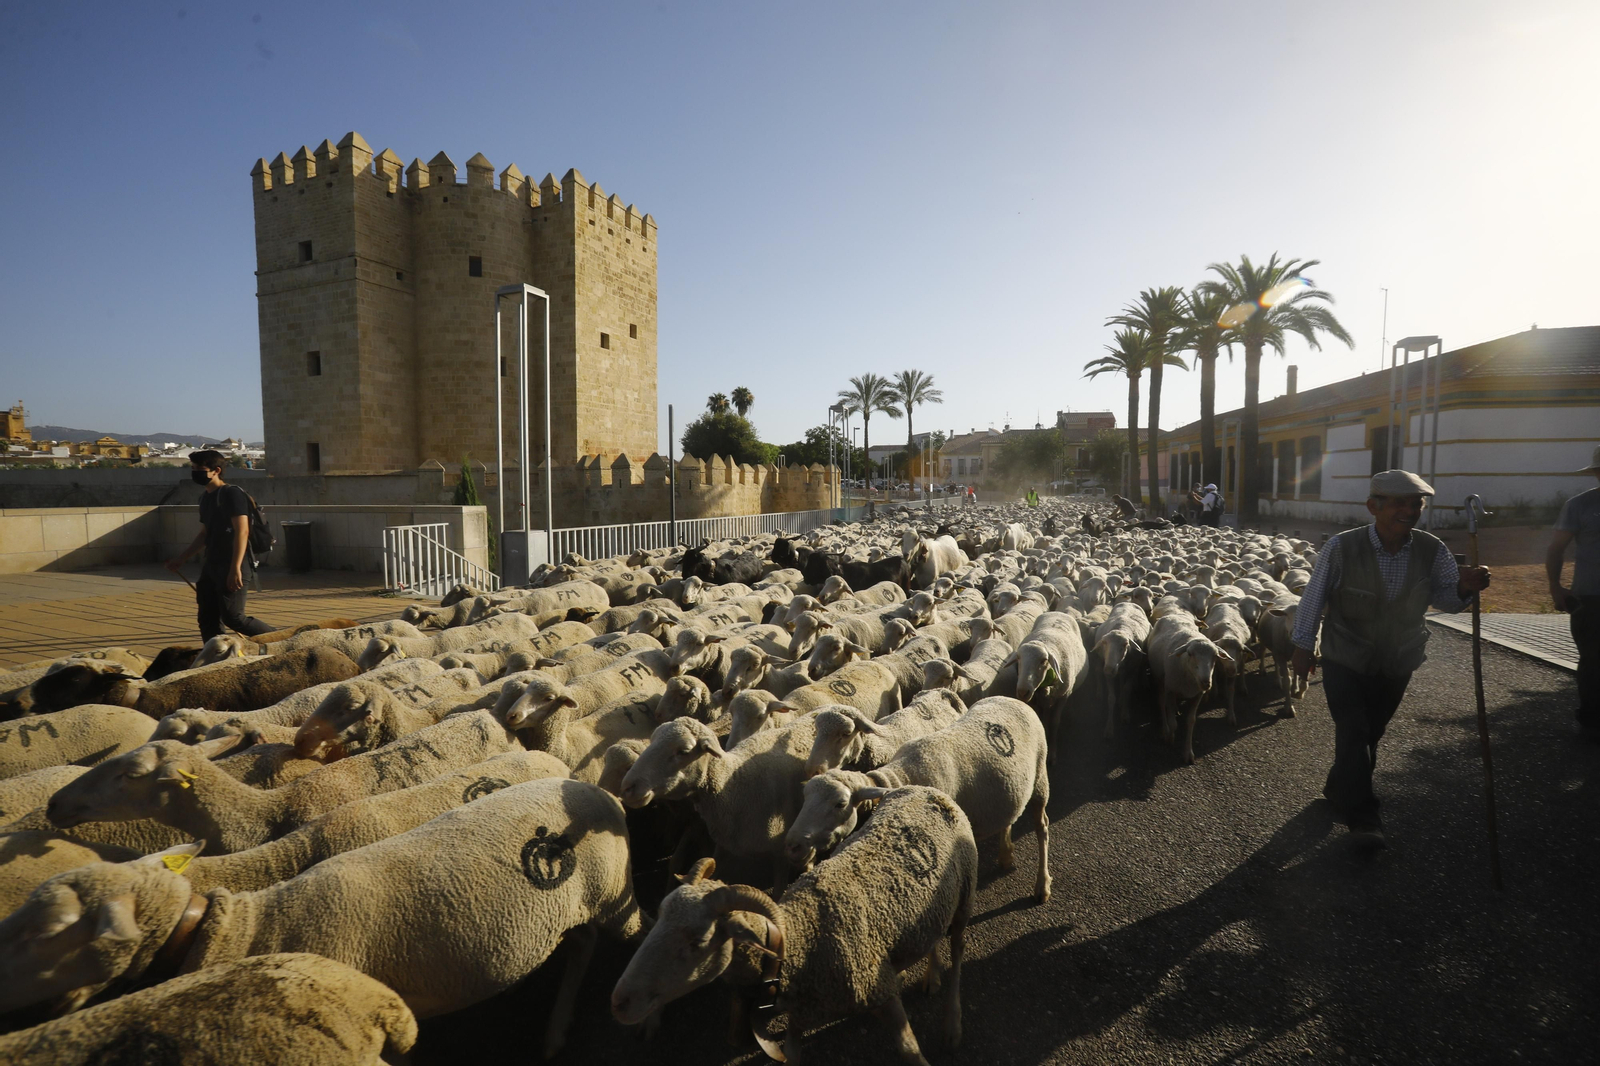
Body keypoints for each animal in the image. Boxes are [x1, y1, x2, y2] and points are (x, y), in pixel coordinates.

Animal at [612, 786, 977, 1066]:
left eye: (698, 941)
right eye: (659, 916)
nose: (620, 1002)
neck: (804, 937)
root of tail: (923, 789)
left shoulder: (879, 990)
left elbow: (911, 1053)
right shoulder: (799, 1015)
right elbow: (794, 1054)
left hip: (965, 894)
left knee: (958, 949)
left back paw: (953, 1025)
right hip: (932, 903)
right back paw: (931, 975)